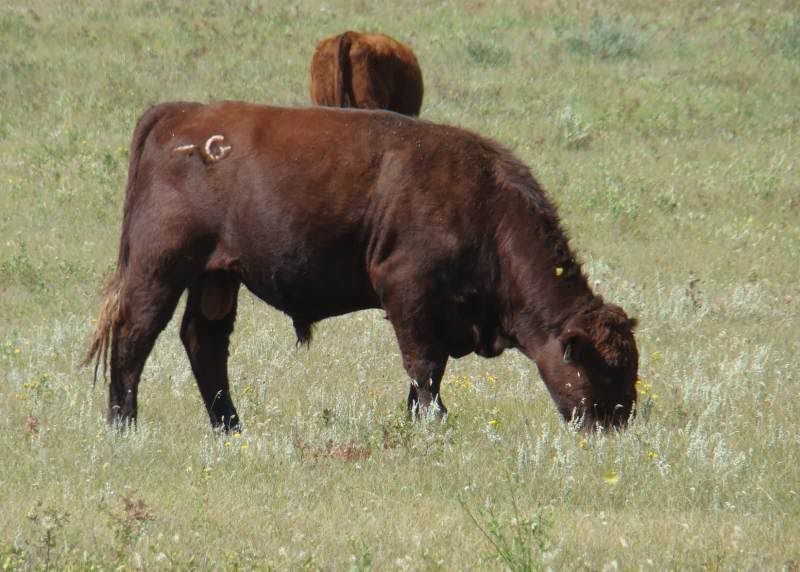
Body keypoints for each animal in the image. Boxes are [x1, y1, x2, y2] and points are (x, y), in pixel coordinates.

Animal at [84, 101, 639, 433]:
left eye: (630, 366)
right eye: (602, 368)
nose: (620, 422)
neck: (485, 206)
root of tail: (181, 112)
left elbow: (426, 369)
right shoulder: (408, 291)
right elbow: (424, 365)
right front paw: (434, 425)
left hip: (216, 276)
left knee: (204, 343)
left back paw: (230, 428)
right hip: (162, 267)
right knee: (135, 334)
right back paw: (124, 424)